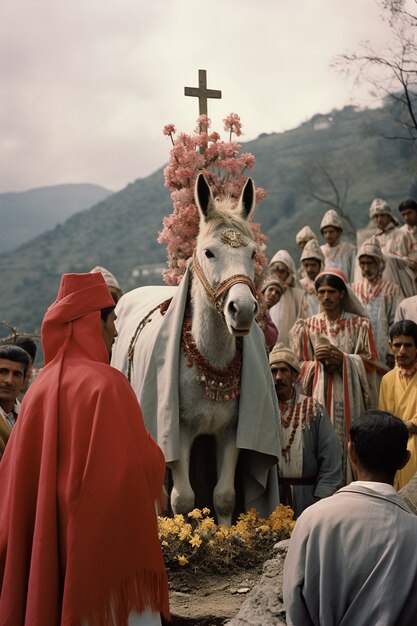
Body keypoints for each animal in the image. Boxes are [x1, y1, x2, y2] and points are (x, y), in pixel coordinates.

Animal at [112, 173, 278, 524]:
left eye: (253, 253)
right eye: (209, 252)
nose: (242, 309)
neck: (209, 358)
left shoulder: (231, 433)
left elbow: (224, 497)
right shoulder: (178, 432)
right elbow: (183, 499)